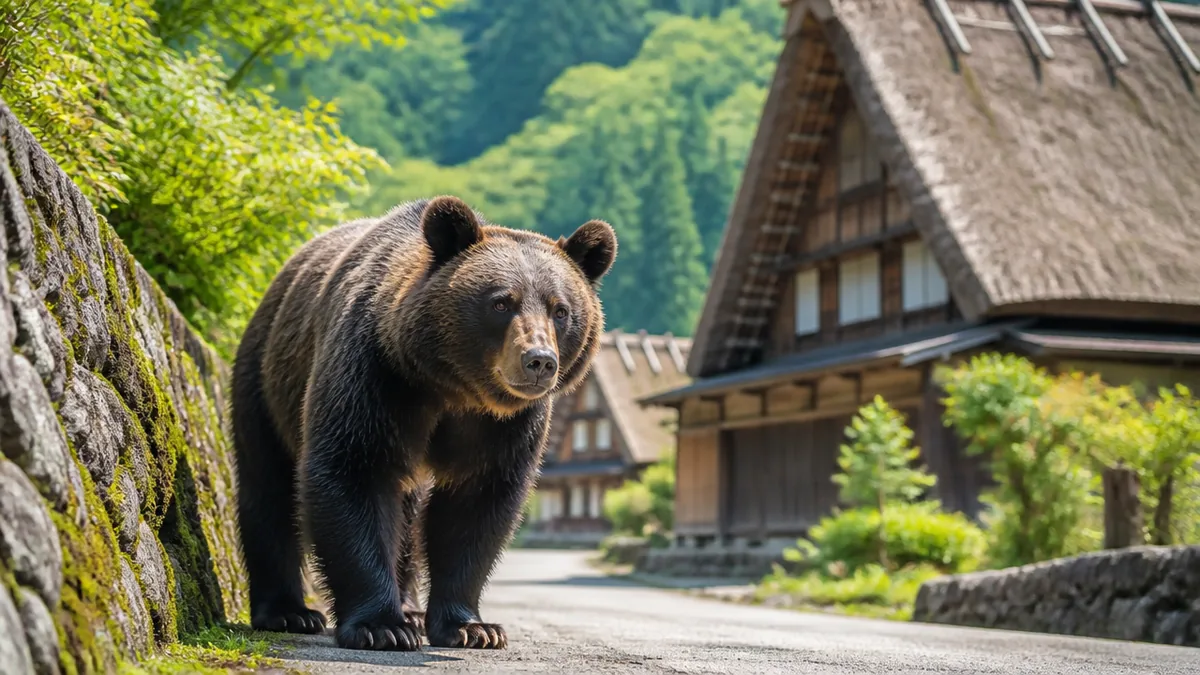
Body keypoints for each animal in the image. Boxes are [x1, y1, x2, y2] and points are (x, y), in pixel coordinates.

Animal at [229, 195, 617, 651]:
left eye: (560, 310)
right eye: (501, 302)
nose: (539, 360)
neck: (452, 387)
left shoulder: (505, 423)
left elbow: (477, 504)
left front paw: (472, 627)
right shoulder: (375, 376)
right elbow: (352, 471)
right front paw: (381, 626)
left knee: (407, 513)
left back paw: (410, 608)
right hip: (266, 381)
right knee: (267, 486)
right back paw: (289, 611)